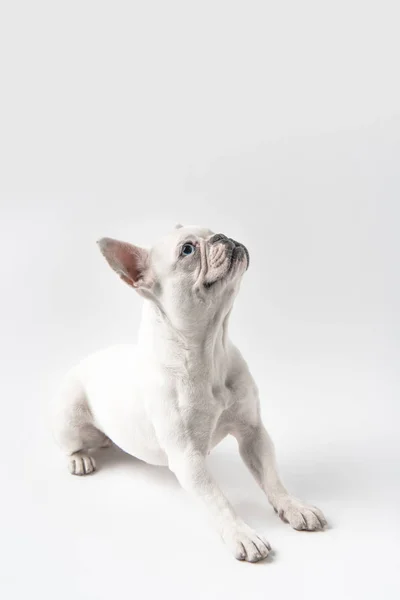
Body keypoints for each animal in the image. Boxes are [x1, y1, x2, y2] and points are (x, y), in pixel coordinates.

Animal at [53, 225, 326, 564]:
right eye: (187, 250)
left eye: (212, 232)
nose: (223, 236)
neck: (210, 350)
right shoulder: (188, 458)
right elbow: (218, 500)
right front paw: (241, 534)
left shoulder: (253, 433)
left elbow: (272, 477)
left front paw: (293, 506)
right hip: (69, 420)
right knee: (71, 445)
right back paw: (79, 459)